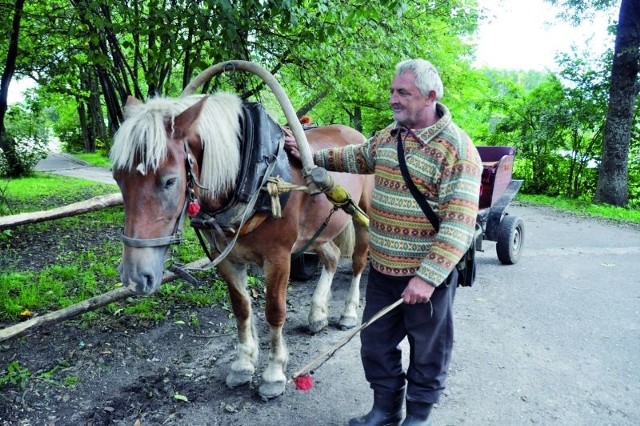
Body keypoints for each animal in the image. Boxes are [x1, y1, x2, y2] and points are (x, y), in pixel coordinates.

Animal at [108, 92, 372, 400]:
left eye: (170, 180)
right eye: (117, 177)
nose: (134, 277)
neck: (253, 177)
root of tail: (353, 132)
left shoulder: (279, 258)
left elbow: (274, 311)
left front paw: (273, 372)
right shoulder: (226, 258)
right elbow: (241, 308)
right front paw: (243, 364)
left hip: (363, 215)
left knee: (358, 260)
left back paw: (348, 313)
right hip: (317, 232)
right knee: (331, 257)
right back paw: (317, 314)